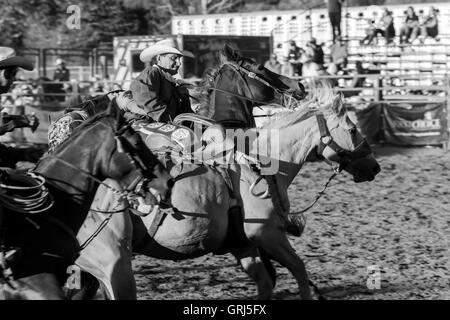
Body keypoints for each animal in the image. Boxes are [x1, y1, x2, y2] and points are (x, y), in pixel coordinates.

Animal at [73, 82, 380, 300]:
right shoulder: (267, 233)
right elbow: (299, 270)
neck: (262, 161)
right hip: (111, 263)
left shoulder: (244, 244)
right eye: (352, 129)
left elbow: (266, 282)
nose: (374, 167)